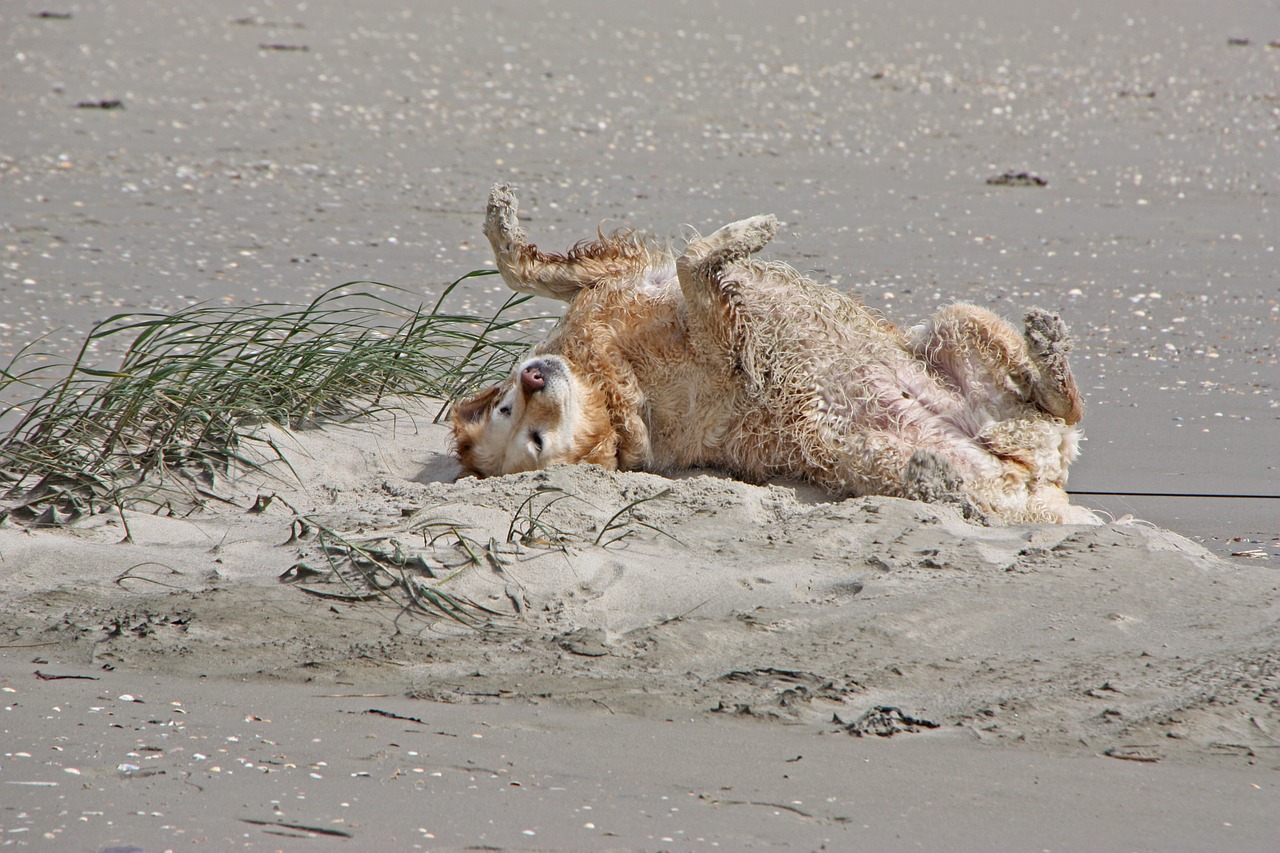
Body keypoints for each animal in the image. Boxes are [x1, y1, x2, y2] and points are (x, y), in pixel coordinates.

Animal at [453, 183, 1090, 522]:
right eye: (533, 441)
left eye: (506, 408)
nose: (533, 378)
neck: (608, 376)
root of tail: (1042, 474)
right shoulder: (725, 348)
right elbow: (691, 261)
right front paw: (749, 233)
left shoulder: (609, 280)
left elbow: (523, 268)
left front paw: (500, 217)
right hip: (870, 456)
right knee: (989, 473)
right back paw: (935, 469)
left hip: (955, 322)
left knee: (1062, 404)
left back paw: (1047, 345)